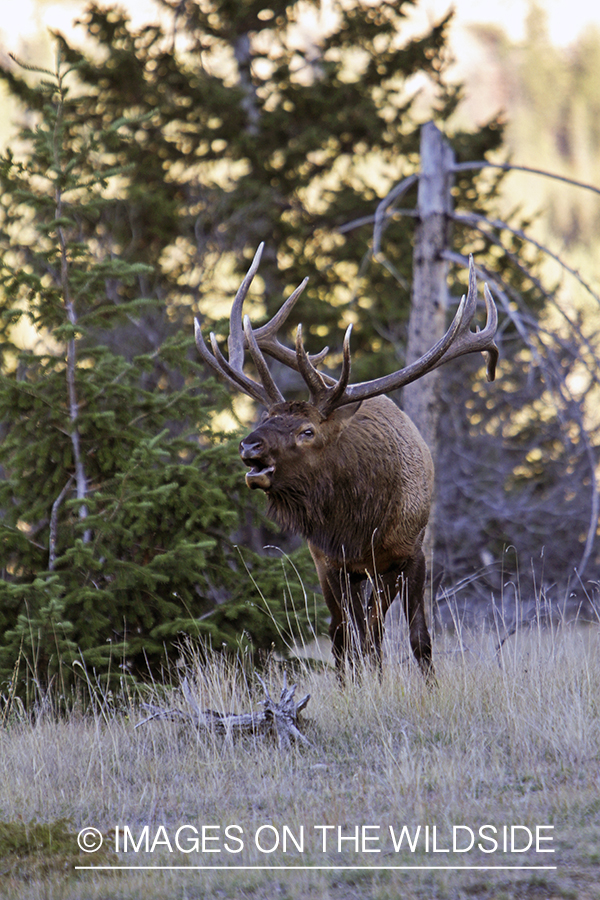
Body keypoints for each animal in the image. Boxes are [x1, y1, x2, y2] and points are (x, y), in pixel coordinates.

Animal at [194, 244, 498, 681]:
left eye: (307, 431)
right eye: (266, 417)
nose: (249, 447)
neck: (361, 522)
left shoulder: (409, 554)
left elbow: (407, 638)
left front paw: (412, 685)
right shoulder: (330, 562)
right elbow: (346, 639)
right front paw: (356, 684)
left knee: (383, 632)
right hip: (341, 570)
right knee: (348, 634)